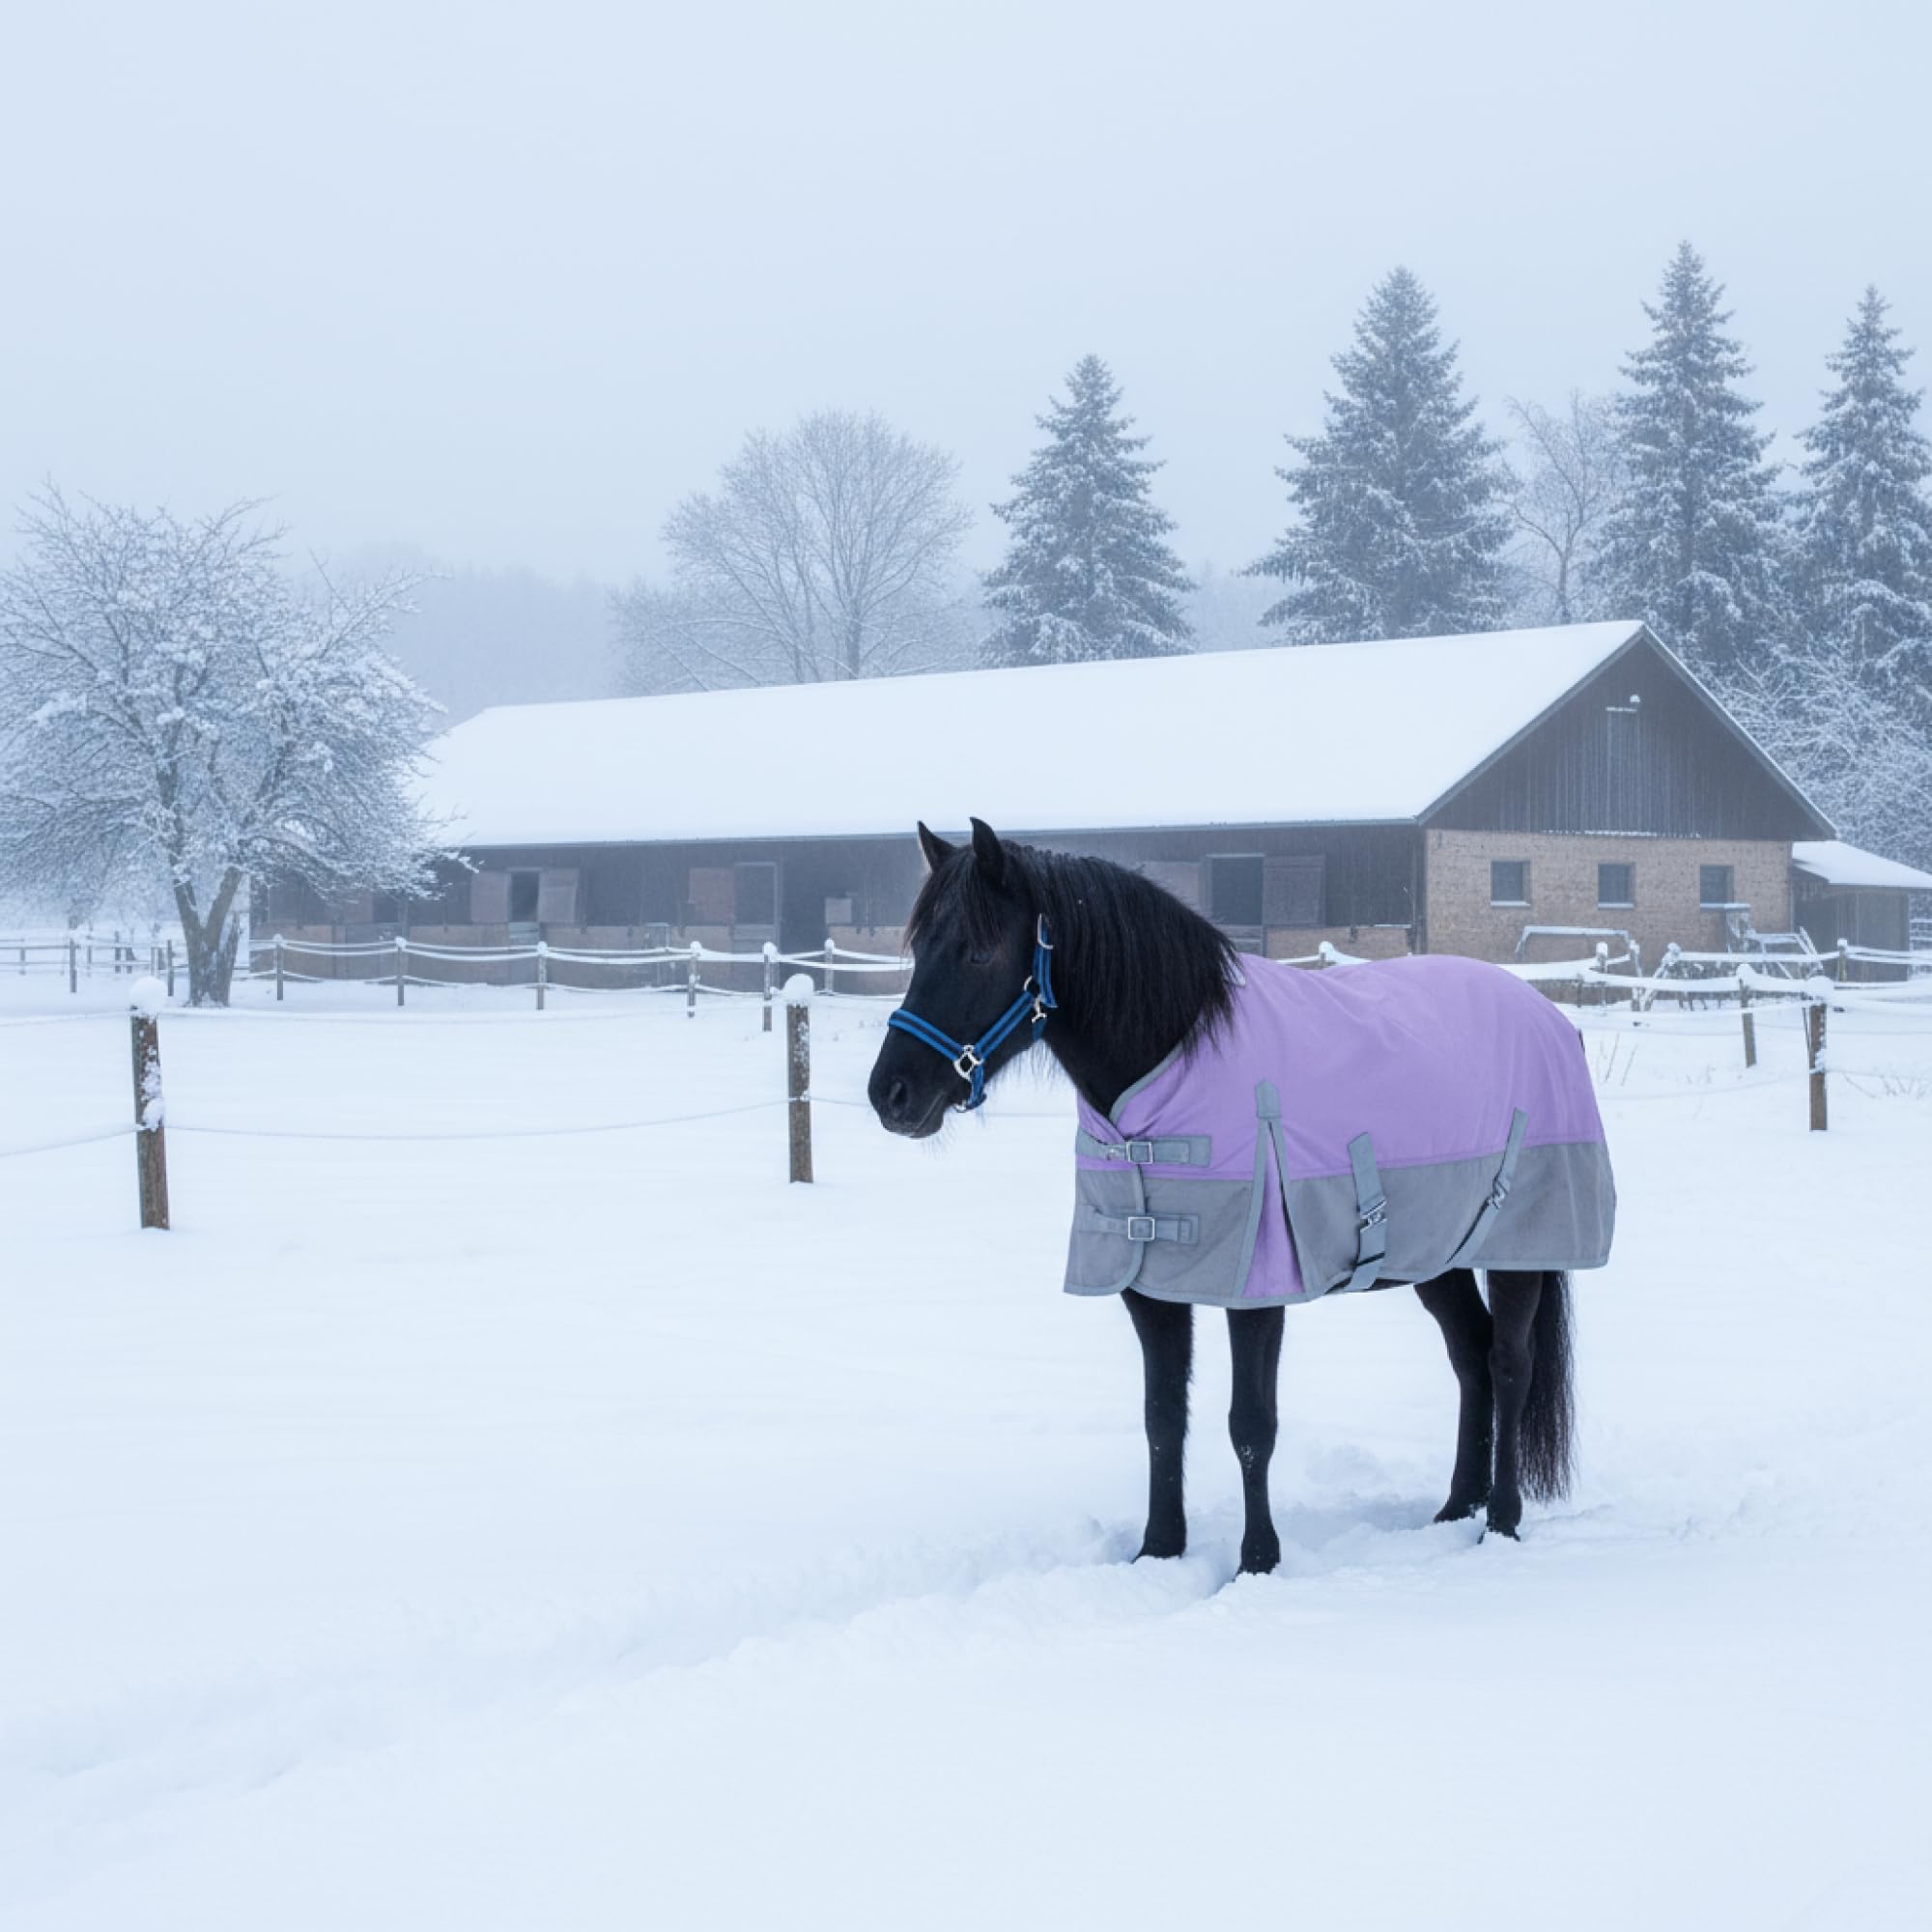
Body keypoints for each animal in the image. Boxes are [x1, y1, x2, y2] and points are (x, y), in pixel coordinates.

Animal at [867, 818, 1591, 1571]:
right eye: (921, 947)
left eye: (980, 952)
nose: (892, 1094)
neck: (1174, 1059)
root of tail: (1551, 1019)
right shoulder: (1151, 1288)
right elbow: (1162, 1417)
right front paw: (1158, 1552)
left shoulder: (1257, 1293)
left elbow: (1251, 1425)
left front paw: (1257, 1561)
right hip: (1437, 1255)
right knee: (1470, 1358)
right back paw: (1455, 1507)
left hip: (1519, 1251)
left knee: (1508, 1365)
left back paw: (1501, 1520)